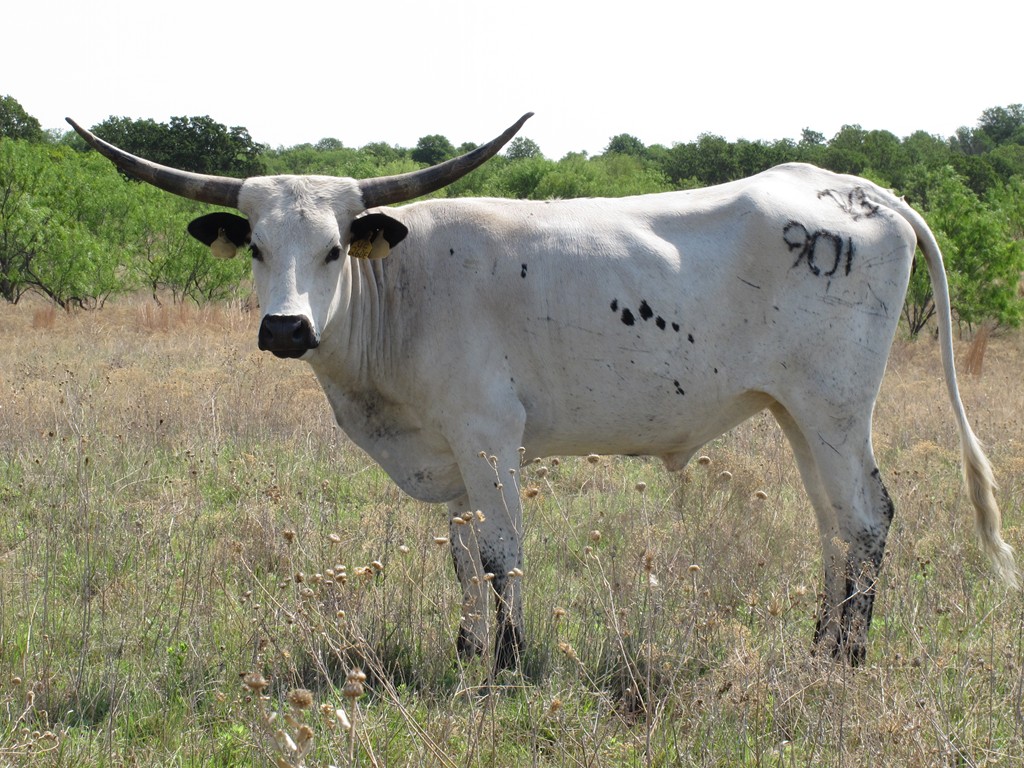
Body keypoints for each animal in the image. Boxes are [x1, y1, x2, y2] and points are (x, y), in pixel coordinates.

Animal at [67, 114, 1018, 668]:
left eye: (334, 249)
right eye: (259, 248)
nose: (286, 329)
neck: (402, 289)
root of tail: (864, 193)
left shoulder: (489, 434)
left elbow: (502, 552)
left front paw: (510, 661)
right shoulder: (449, 455)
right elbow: (461, 555)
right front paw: (463, 650)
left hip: (834, 408)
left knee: (865, 516)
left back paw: (846, 657)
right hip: (797, 414)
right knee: (833, 526)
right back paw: (821, 645)